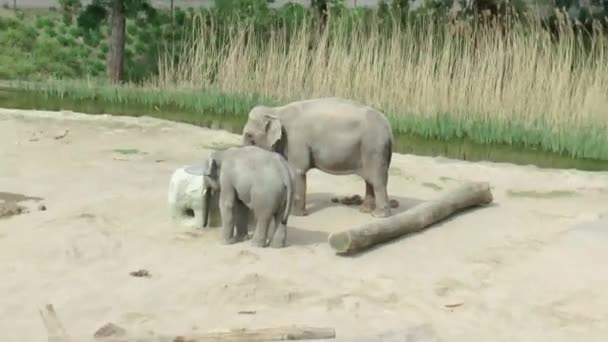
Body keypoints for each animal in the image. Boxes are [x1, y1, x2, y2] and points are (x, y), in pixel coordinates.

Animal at [242, 97, 394, 218]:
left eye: (249, 135)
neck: (276, 111)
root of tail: (389, 127)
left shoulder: (296, 141)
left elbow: (298, 171)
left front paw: (297, 215)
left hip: (374, 149)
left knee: (377, 181)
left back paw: (378, 215)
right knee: (369, 180)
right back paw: (365, 211)